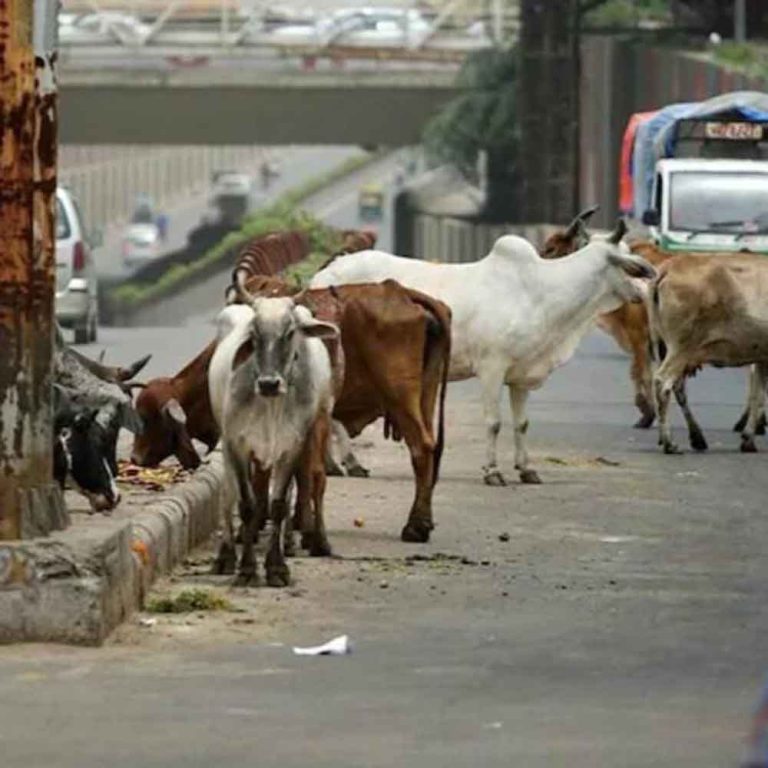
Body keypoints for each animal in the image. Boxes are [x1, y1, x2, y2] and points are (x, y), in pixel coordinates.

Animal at [212, 296, 340, 584]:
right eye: (253, 333)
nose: (269, 383)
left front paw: (277, 566)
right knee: (228, 494)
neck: (271, 405)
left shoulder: (291, 448)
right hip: (226, 443)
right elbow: (247, 505)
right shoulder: (237, 445)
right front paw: (248, 568)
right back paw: (226, 556)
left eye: (290, 332)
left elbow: (278, 504)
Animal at [312, 220, 656, 486]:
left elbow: (522, 423)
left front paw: (526, 469)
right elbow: (494, 422)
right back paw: (348, 463)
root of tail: (324, 274)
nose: (648, 288)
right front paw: (493, 472)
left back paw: (334, 465)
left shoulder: (520, 375)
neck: (541, 292)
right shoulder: (492, 368)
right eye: (630, 264)